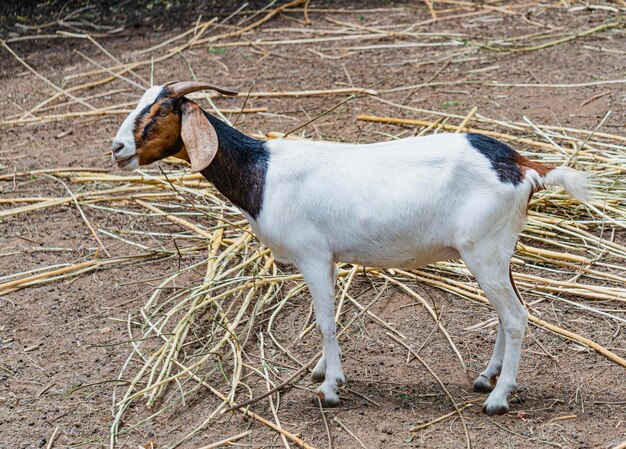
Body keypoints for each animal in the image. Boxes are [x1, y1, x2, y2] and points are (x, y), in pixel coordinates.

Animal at [109, 82, 588, 414]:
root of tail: (524, 166)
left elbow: (324, 320)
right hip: (497, 253)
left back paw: (498, 398)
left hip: (483, 251)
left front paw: (330, 387)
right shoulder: (326, 260)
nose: (117, 148)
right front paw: (323, 371)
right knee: (508, 314)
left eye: (160, 111)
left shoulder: (313, 256)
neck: (262, 173)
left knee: (516, 317)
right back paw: (486, 377)